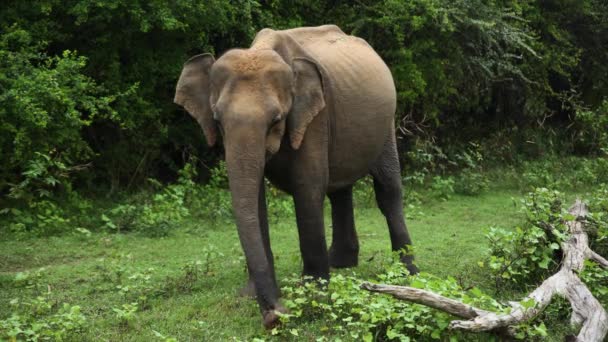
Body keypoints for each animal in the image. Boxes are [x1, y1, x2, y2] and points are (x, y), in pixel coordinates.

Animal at [173, 24, 416, 328]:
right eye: (217, 120)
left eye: (276, 120)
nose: (274, 316)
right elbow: (256, 202)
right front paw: (251, 295)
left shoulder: (314, 117)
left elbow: (307, 189)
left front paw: (313, 293)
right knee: (340, 190)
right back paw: (341, 263)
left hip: (386, 124)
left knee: (387, 189)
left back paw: (407, 273)